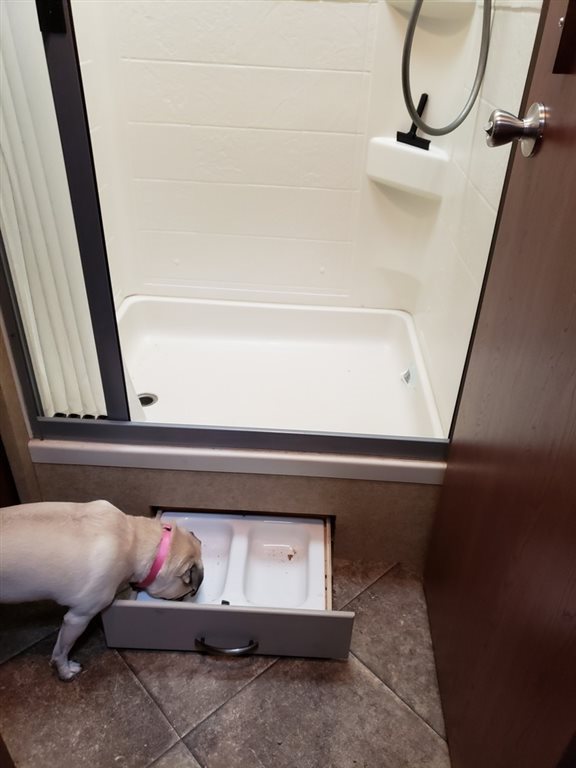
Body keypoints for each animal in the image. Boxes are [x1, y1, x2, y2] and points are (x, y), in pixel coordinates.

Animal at [0, 500, 203, 680]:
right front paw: (65, 671)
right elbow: (61, 651)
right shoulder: (78, 618)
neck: (132, 536)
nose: (184, 601)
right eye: (186, 593)